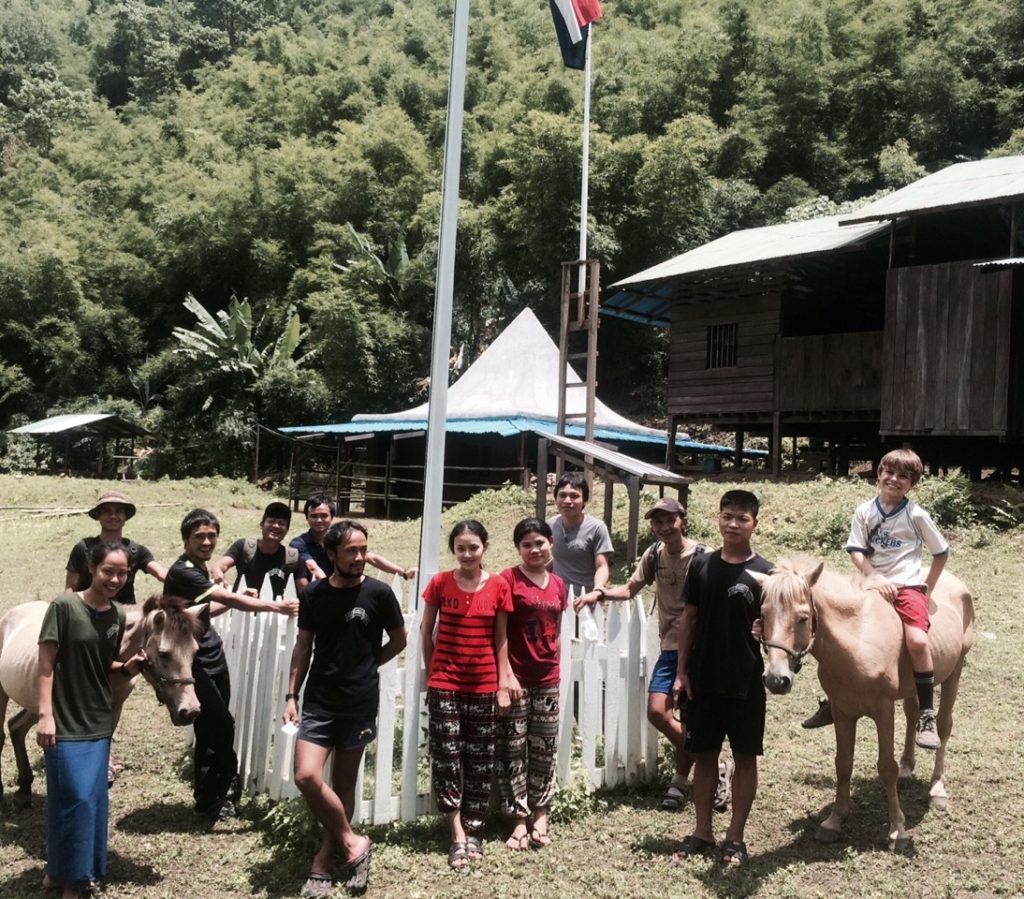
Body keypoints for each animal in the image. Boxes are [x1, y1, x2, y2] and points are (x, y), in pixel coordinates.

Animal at [0, 597, 203, 810]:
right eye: (164, 653)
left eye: (195, 651)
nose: (190, 711)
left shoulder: (114, 709)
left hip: (36, 706)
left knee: (16, 727)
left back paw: (24, 792)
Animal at [753, 561, 974, 855]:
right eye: (763, 615)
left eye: (802, 618)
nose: (776, 680)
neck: (856, 640)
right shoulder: (843, 711)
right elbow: (843, 764)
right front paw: (834, 821)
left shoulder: (883, 711)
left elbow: (886, 767)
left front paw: (897, 830)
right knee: (913, 714)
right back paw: (908, 768)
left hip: (954, 671)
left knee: (944, 726)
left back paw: (937, 788)